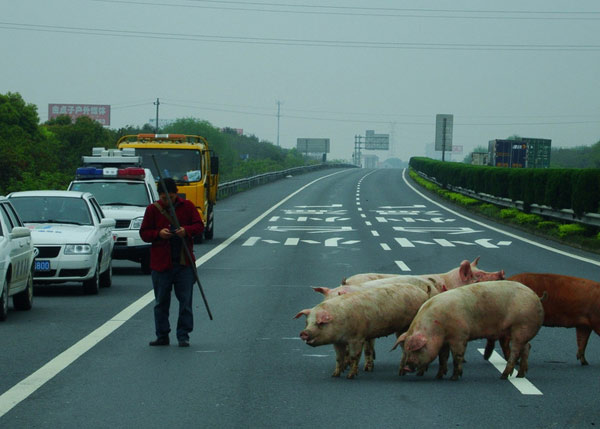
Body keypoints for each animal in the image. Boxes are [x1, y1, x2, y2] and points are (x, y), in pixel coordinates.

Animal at [294, 284, 426, 378]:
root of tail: (422, 292)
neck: (340, 318)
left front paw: (350, 376)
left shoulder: (357, 338)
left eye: (320, 323)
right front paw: (335, 375)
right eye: (307, 322)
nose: (304, 333)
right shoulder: (337, 341)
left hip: (406, 327)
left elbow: (355, 356)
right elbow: (339, 357)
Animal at [392, 280, 548, 378]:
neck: (437, 328)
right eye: (405, 350)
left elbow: (457, 356)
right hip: (521, 331)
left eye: (417, 349)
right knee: (527, 347)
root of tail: (536, 296)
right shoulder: (444, 341)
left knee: (516, 351)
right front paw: (439, 376)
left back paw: (503, 376)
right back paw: (520, 375)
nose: (406, 367)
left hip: (521, 326)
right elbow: (443, 358)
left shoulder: (460, 335)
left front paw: (454, 377)